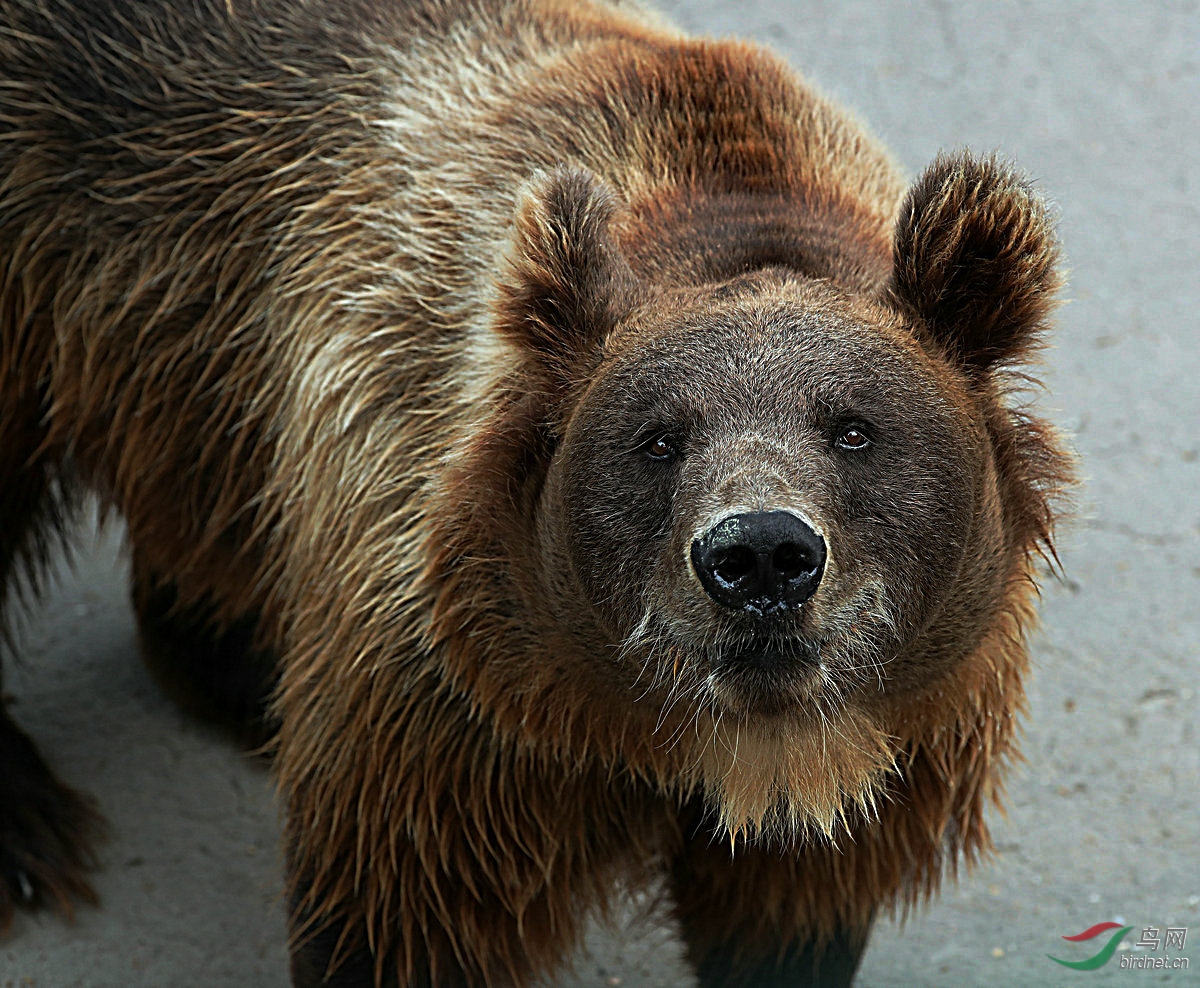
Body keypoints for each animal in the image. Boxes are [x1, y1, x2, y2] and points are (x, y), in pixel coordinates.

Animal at [0, 0, 1070, 984]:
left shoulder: (900, 731)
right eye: (658, 439)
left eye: (853, 427)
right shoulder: (445, 709)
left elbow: (791, 910)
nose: (761, 555)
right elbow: (405, 913)